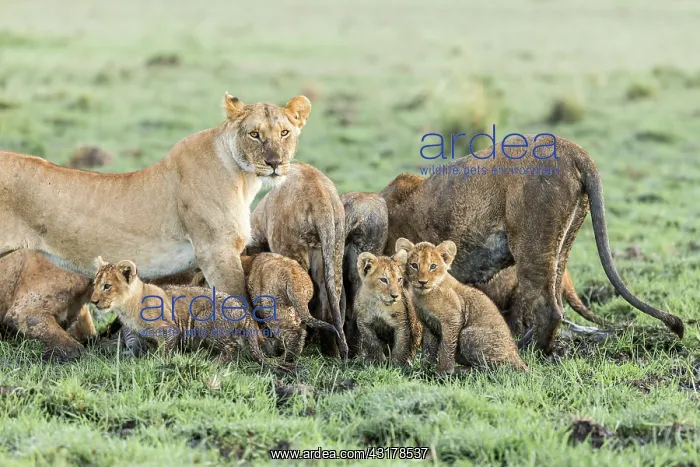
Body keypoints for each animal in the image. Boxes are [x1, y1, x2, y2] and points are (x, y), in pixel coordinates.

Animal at [0, 93, 311, 315]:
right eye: (254, 134)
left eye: (284, 133)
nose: (274, 163)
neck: (244, 178)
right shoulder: (217, 251)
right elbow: (239, 302)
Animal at [91, 257, 265, 364]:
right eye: (95, 284)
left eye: (107, 286)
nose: (93, 301)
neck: (127, 307)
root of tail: (244, 310)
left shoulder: (169, 329)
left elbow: (165, 351)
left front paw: (160, 363)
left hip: (203, 322)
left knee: (232, 348)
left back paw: (213, 364)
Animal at [381, 136, 683, 351]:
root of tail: (574, 150)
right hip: (561, 245)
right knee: (555, 297)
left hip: (531, 245)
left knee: (550, 309)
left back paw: (530, 351)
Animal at [396, 238, 526, 373]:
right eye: (414, 265)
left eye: (433, 266)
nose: (422, 282)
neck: (423, 296)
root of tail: (518, 358)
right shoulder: (428, 325)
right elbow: (428, 349)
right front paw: (422, 370)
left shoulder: (453, 319)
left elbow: (446, 347)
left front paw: (443, 371)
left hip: (467, 334)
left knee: (494, 369)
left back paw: (460, 371)